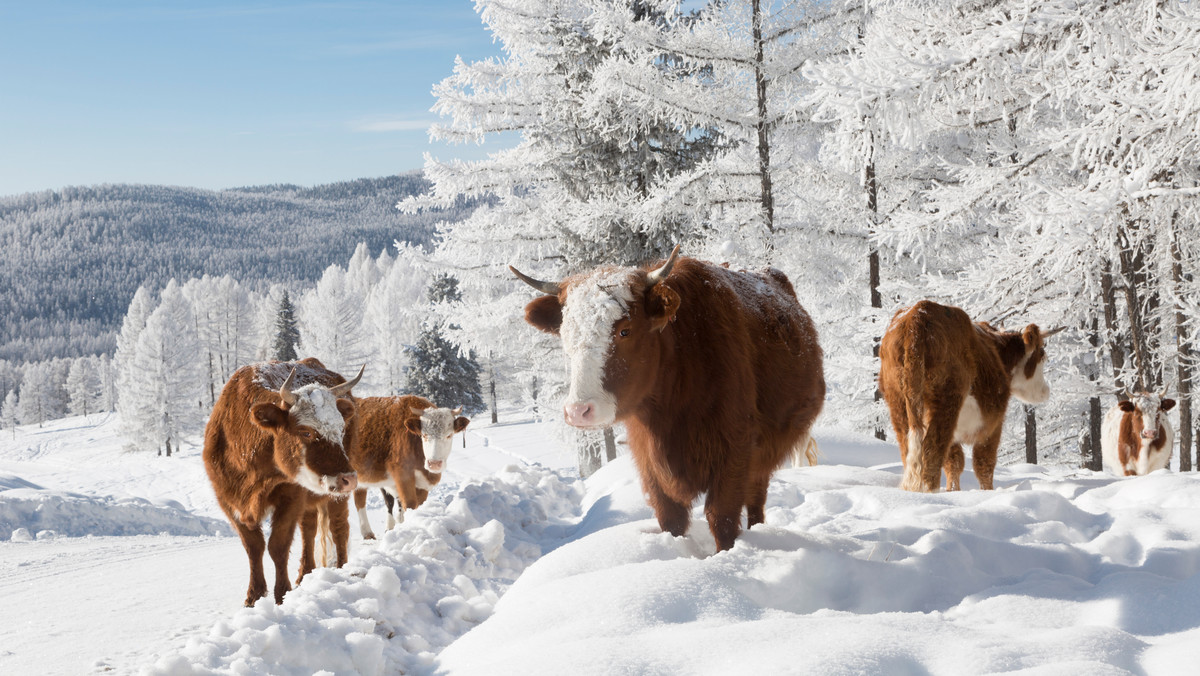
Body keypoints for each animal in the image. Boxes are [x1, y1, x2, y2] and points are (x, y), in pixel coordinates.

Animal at [204, 357, 360, 605]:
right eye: (306, 432)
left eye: (341, 429)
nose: (349, 479)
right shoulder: (228, 501)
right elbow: (253, 546)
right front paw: (254, 596)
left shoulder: (290, 496)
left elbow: (277, 545)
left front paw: (282, 595)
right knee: (308, 529)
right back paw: (305, 575)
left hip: (335, 496)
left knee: (338, 528)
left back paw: (341, 570)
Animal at [348, 396, 468, 540]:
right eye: (424, 435)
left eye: (449, 435)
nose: (434, 463)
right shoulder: (403, 476)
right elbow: (408, 504)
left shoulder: (423, 484)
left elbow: (418, 505)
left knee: (360, 498)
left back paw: (368, 533)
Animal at [506, 246, 825, 552]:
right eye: (565, 335)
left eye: (625, 330)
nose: (578, 411)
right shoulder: (649, 463)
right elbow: (671, 519)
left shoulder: (735, 452)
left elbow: (721, 518)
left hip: (765, 454)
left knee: (756, 500)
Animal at [878, 301, 1065, 492]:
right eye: (1042, 354)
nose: (1046, 391)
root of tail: (919, 313)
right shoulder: (993, 424)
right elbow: (984, 464)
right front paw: (986, 492)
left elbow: (954, 462)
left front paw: (953, 491)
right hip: (946, 401)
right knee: (932, 447)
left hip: (898, 402)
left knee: (909, 446)